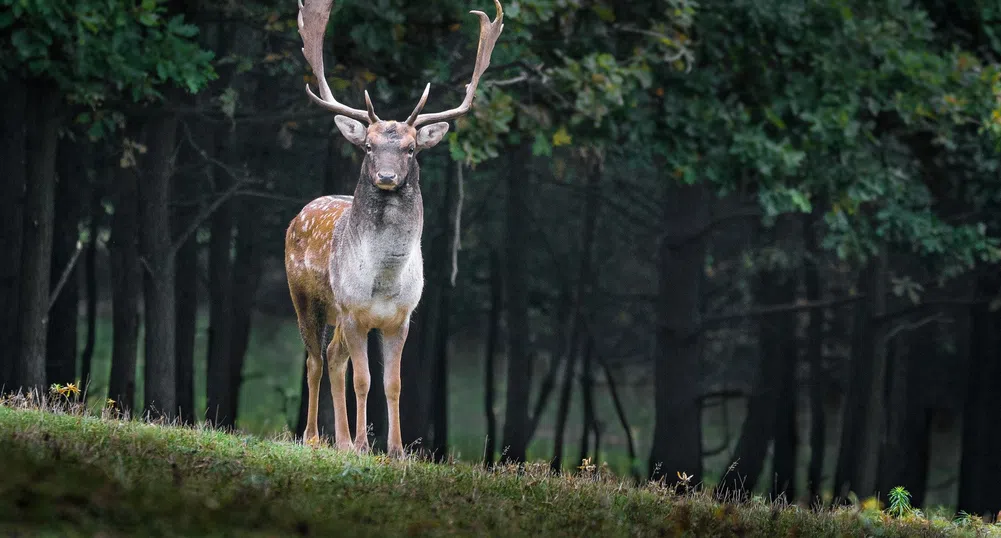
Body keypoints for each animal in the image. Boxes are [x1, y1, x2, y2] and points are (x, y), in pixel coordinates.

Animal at [286, 0, 504, 456]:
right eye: (369, 146)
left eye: (410, 148)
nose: (386, 176)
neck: (384, 281)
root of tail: (302, 212)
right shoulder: (354, 312)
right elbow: (363, 379)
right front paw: (364, 446)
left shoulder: (401, 319)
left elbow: (393, 383)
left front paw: (396, 449)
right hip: (306, 297)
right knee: (315, 359)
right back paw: (315, 437)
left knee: (333, 356)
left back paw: (341, 440)